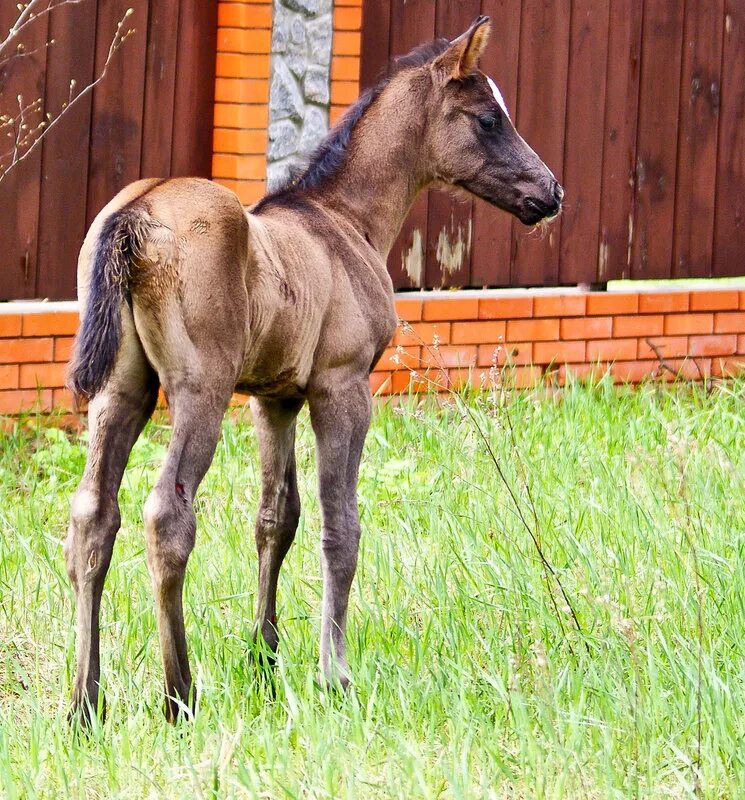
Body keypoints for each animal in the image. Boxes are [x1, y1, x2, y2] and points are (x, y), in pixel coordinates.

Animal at [67, 15, 560, 720]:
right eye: (489, 119)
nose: (551, 192)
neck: (344, 222)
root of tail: (138, 211)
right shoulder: (342, 387)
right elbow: (340, 526)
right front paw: (335, 674)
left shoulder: (273, 399)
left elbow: (277, 517)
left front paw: (265, 663)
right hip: (199, 390)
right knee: (167, 516)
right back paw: (179, 694)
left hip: (122, 389)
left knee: (92, 515)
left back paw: (84, 703)